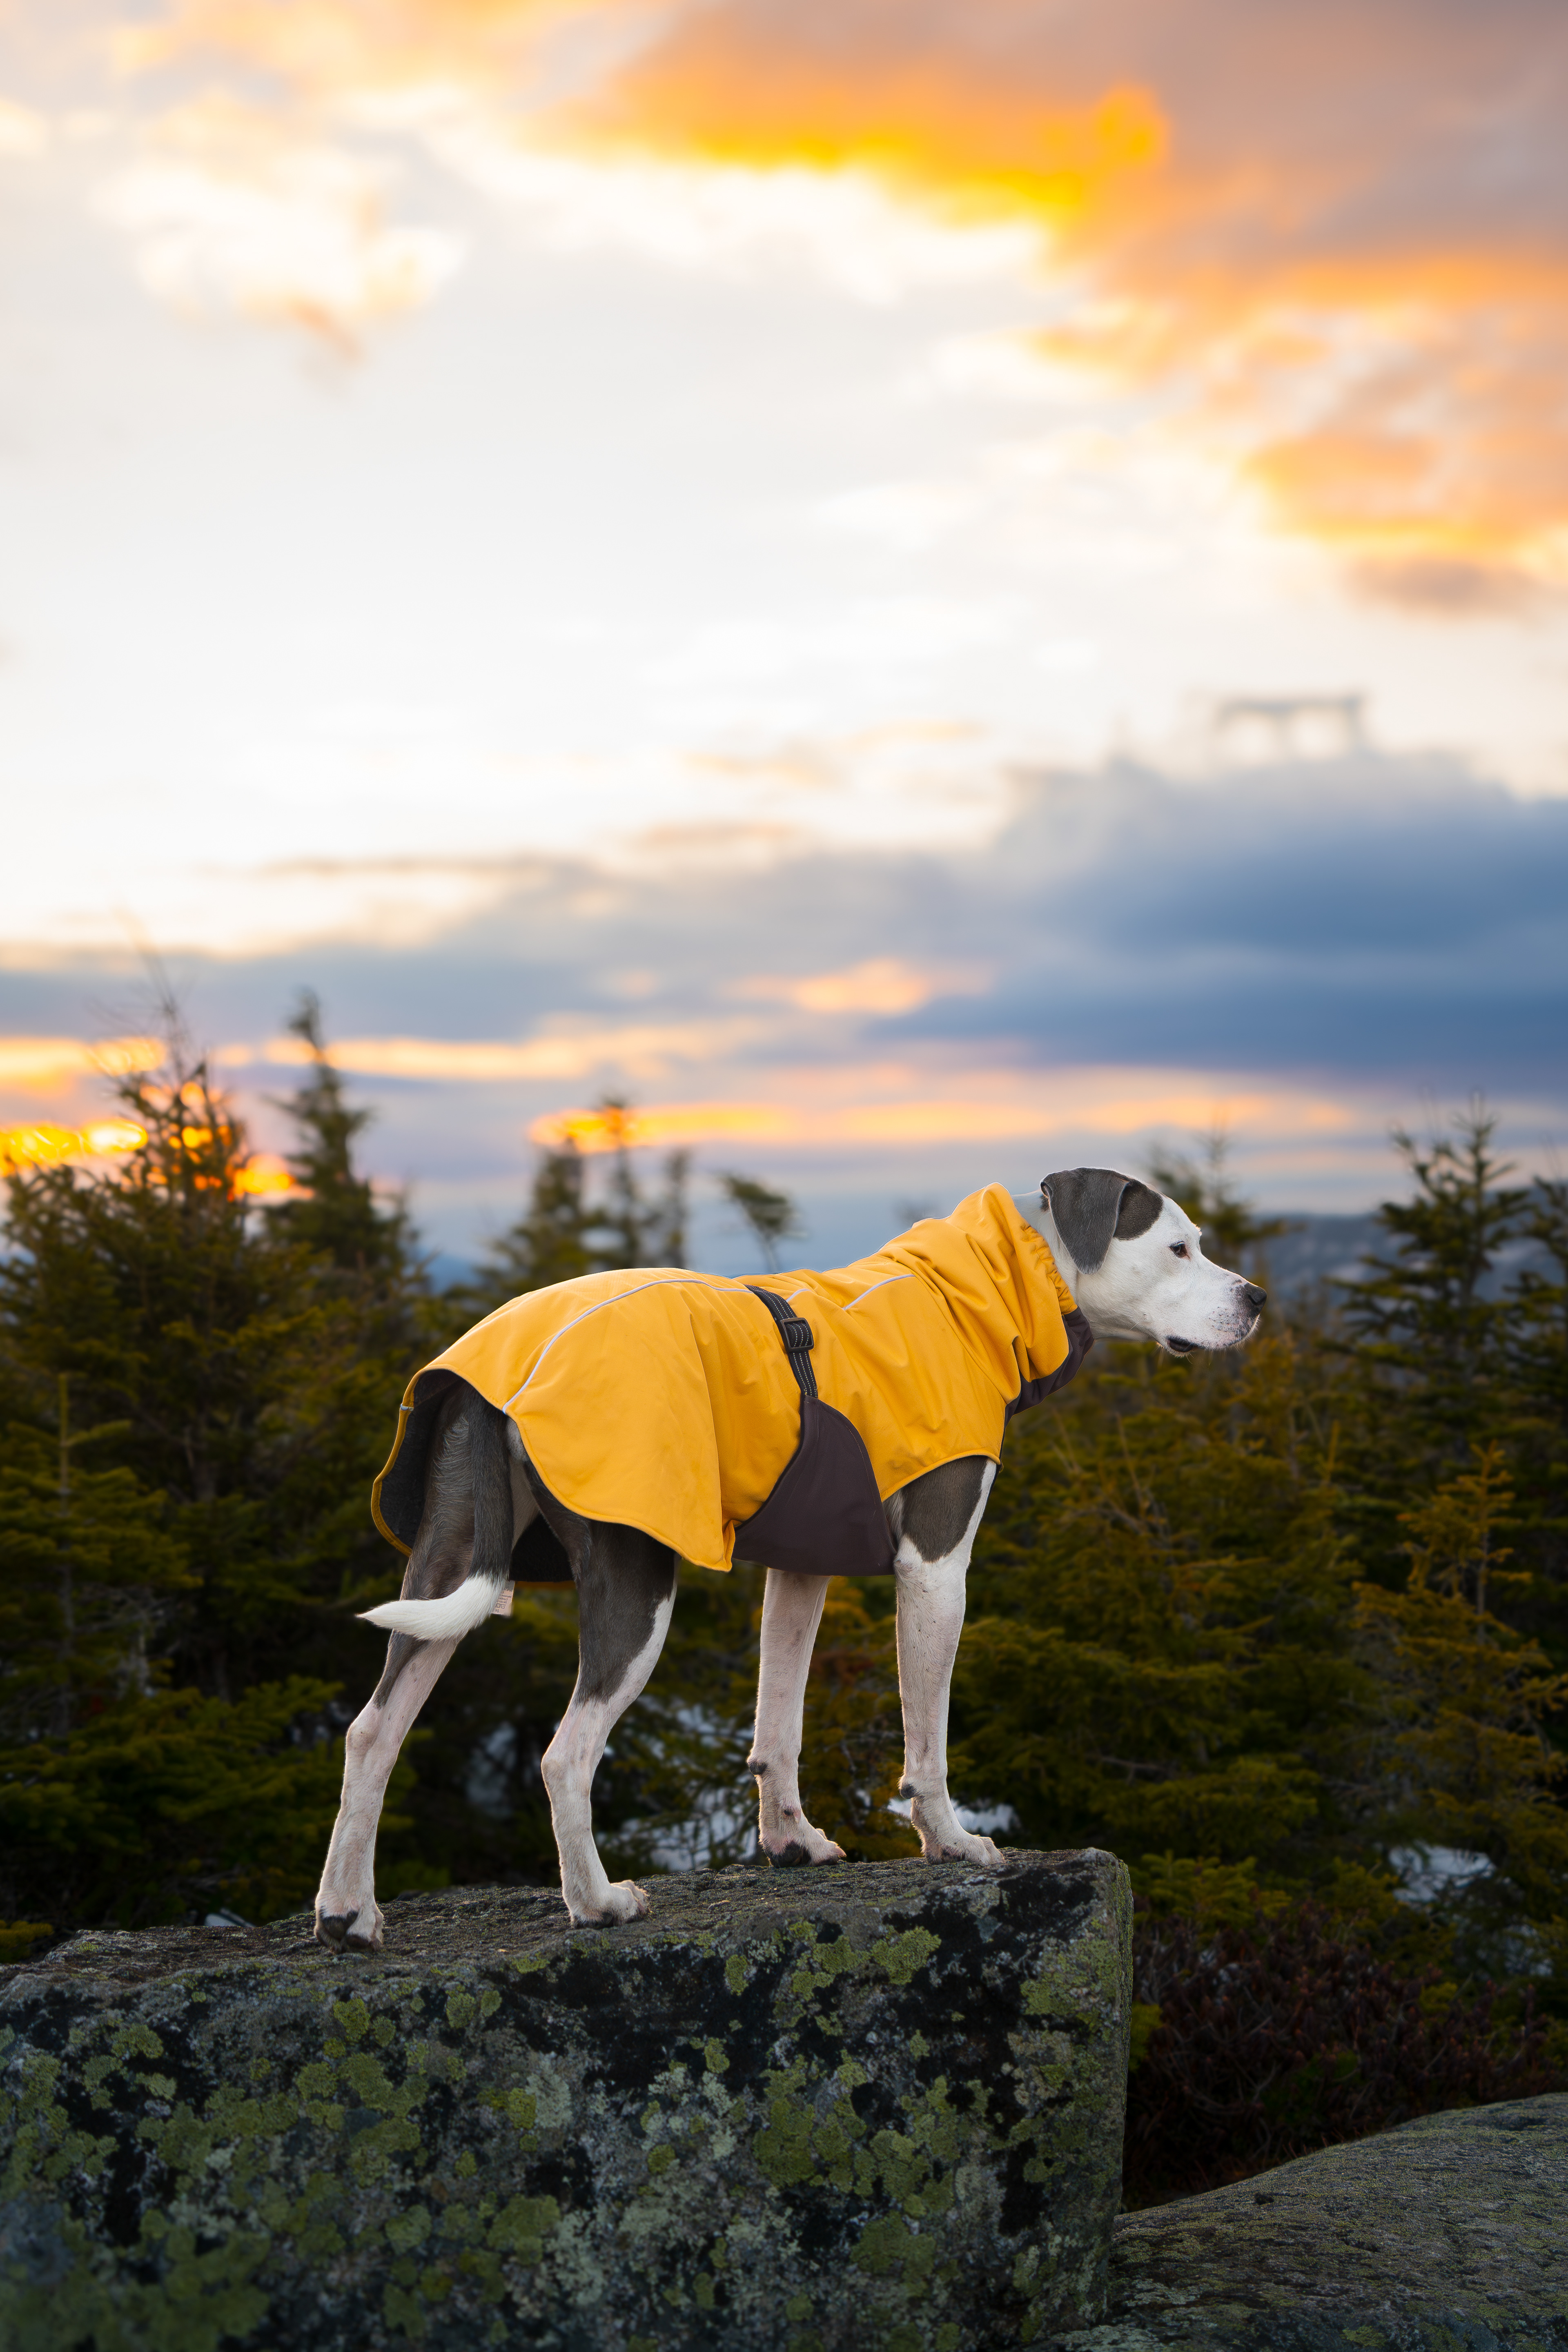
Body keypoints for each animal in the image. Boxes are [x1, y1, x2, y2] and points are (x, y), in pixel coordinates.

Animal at [313, 1169, 1263, 1947]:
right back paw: (598, 1902)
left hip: (446, 1564)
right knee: (565, 1754)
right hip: (635, 1578)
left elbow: (780, 1722)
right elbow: (927, 1738)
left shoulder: (802, 1567)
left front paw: (790, 1841)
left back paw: (348, 1913)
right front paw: (953, 1843)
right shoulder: (936, 1568)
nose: (1256, 1297)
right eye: (1177, 1247)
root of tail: (497, 1379)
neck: (970, 1297)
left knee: (373, 1730)